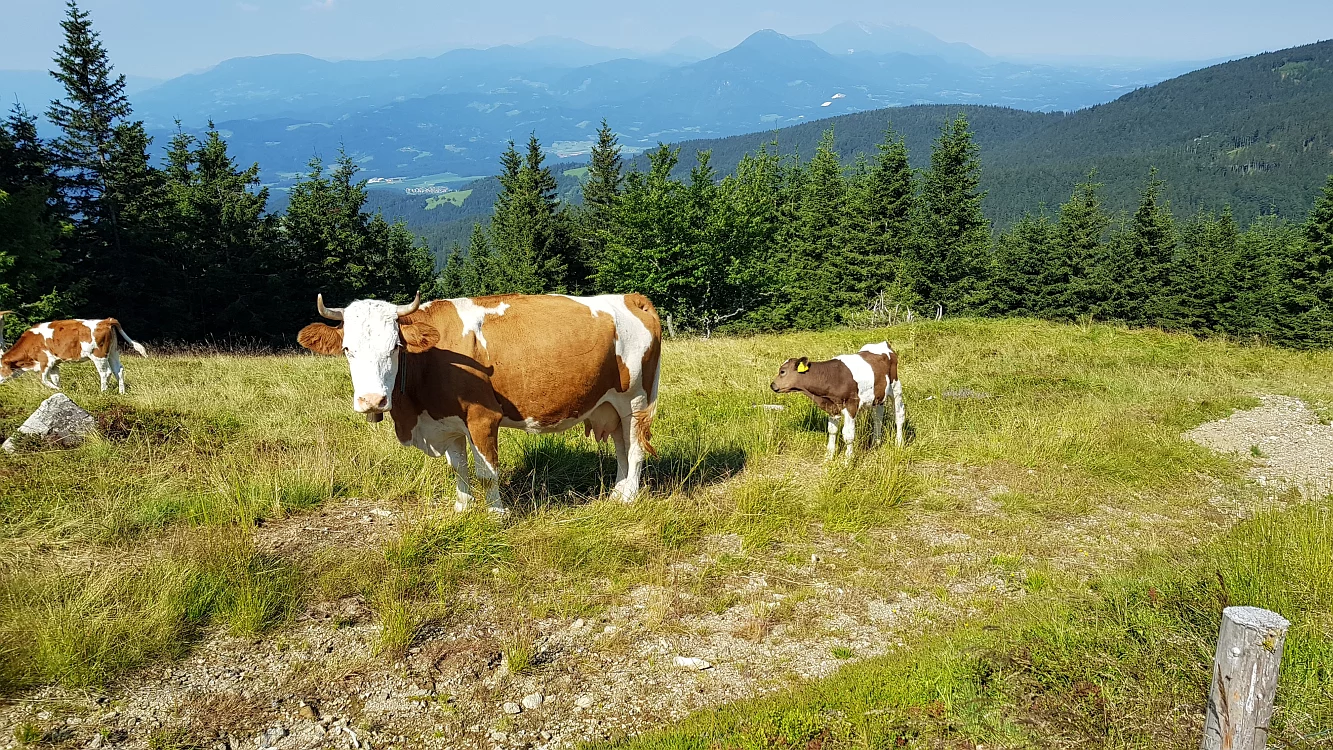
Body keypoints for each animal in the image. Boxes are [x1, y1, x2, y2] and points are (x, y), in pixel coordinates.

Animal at [0, 311, 149, 394]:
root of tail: (106, 320)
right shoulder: (54, 364)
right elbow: (56, 378)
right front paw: (59, 390)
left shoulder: (45, 361)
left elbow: (43, 379)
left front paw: (56, 390)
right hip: (113, 352)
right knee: (119, 370)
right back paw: (121, 392)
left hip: (98, 355)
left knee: (105, 373)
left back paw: (103, 392)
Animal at [297, 291, 661, 511]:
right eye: (348, 349)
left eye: (395, 347)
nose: (372, 400)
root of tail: (630, 297)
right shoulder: (446, 422)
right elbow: (458, 467)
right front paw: (463, 506)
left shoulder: (483, 418)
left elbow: (486, 471)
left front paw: (496, 512)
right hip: (610, 405)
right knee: (622, 448)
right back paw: (618, 492)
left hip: (636, 401)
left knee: (635, 449)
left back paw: (629, 496)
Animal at [773, 343, 906, 460]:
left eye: (782, 371)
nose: (772, 385)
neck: (832, 377)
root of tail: (883, 344)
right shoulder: (832, 406)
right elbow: (832, 430)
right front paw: (829, 457)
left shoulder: (852, 405)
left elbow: (848, 435)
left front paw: (848, 460)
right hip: (878, 396)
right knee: (878, 417)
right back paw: (876, 443)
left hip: (896, 387)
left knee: (899, 416)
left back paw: (899, 443)